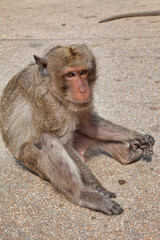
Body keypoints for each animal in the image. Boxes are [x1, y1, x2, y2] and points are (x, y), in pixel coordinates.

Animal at [0, 44, 155, 215]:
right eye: (70, 74)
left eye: (83, 72)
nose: (83, 90)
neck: (51, 86)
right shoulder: (46, 102)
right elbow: (63, 143)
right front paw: (98, 187)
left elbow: (89, 125)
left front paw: (139, 136)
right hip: (32, 163)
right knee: (45, 140)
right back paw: (82, 195)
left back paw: (129, 155)